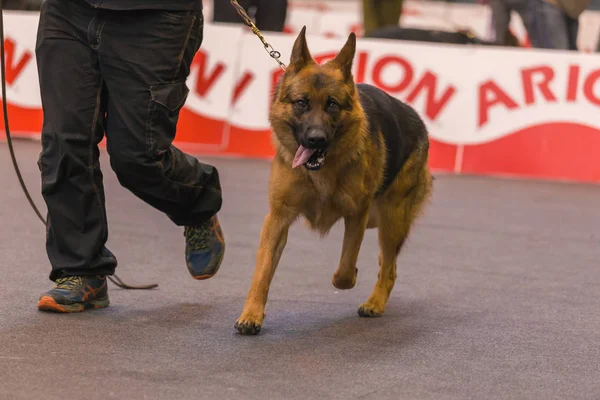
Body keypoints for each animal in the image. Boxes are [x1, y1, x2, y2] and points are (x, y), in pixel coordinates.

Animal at [233, 26, 432, 336]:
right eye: (301, 103)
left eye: (332, 105)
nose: (316, 139)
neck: (321, 171)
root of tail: (417, 118)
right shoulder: (277, 218)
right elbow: (262, 271)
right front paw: (251, 314)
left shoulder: (357, 214)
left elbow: (345, 269)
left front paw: (349, 278)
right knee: (387, 264)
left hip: (391, 220)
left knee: (389, 267)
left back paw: (375, 303)